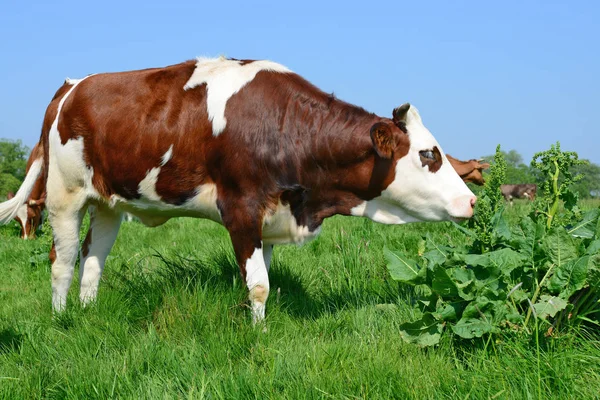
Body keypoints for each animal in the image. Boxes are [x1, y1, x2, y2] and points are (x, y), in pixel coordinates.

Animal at [0, 56, 478, 324]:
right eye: (428, 155)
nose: (471, 200)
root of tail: (71, 86)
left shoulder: (272, 217)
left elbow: (262, 280)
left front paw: (260, 328)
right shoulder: (242, 210)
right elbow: (260, 286)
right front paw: (258, 336)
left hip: (108, 203)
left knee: (93, 260)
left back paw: (89, 313)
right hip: (65, 195)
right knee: (62, 261)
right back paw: (63, 320)